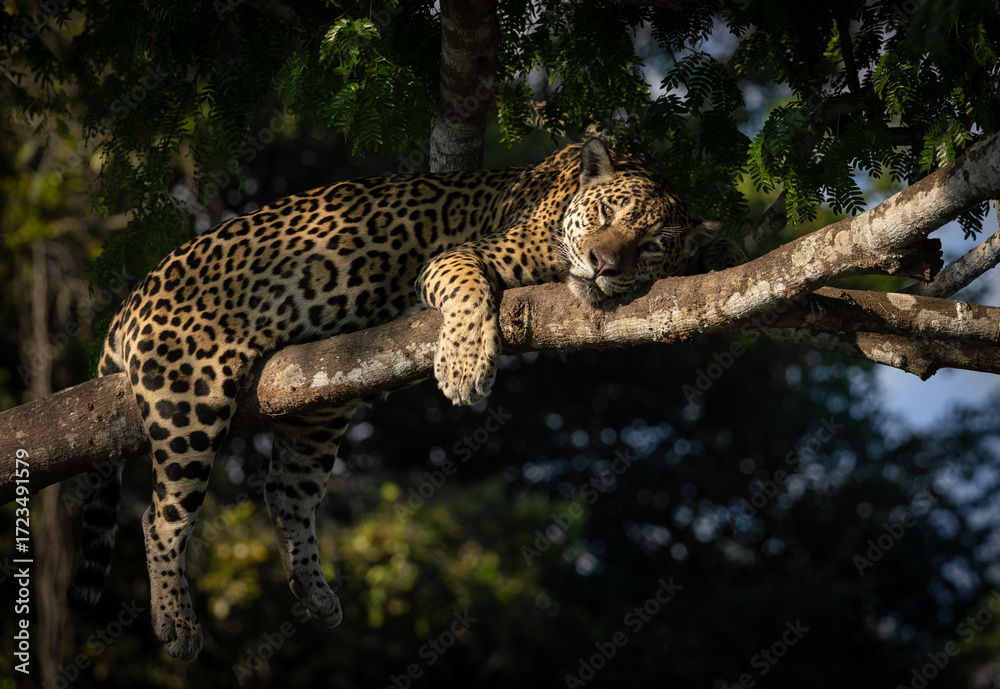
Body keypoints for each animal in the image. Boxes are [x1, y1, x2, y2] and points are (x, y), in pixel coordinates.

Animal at [67, 138, 744, 661]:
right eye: (604, 213)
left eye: (650, 244)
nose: (603, 264)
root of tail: (130, 302)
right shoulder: (463, 256)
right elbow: (469, 291)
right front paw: (464, 364)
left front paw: (724, 252)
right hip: (189, 393)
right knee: (162, 516)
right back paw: (175, 625)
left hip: (319, 405)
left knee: (285, 495)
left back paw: (315, 594)